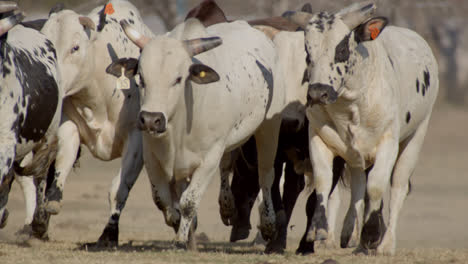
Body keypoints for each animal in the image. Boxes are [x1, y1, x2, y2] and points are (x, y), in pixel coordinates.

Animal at [109, 17, 286, 249]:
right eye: (141, 79)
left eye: (178, 79)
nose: (150, 120)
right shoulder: (152, 156)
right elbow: (162, 199)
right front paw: (178, 223)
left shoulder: (209, 157)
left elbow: (189, 201)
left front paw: (181, 239)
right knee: (226, 167)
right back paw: (226, 208)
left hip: (268, 127)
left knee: (265, 174)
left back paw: (268, 224)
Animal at [286, 1, 438, 255]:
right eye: (308, 52)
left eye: (341, 50)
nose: (317, 94)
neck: (351, 107)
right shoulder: (320, 140)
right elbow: (323, 181)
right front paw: (318, 230)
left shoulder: (387, 144)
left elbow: (376, 186)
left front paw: (372, 235)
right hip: (355, 155)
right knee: (358, 185)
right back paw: (351, 233)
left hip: (415, 139)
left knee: (397, 187)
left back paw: (386, 243)